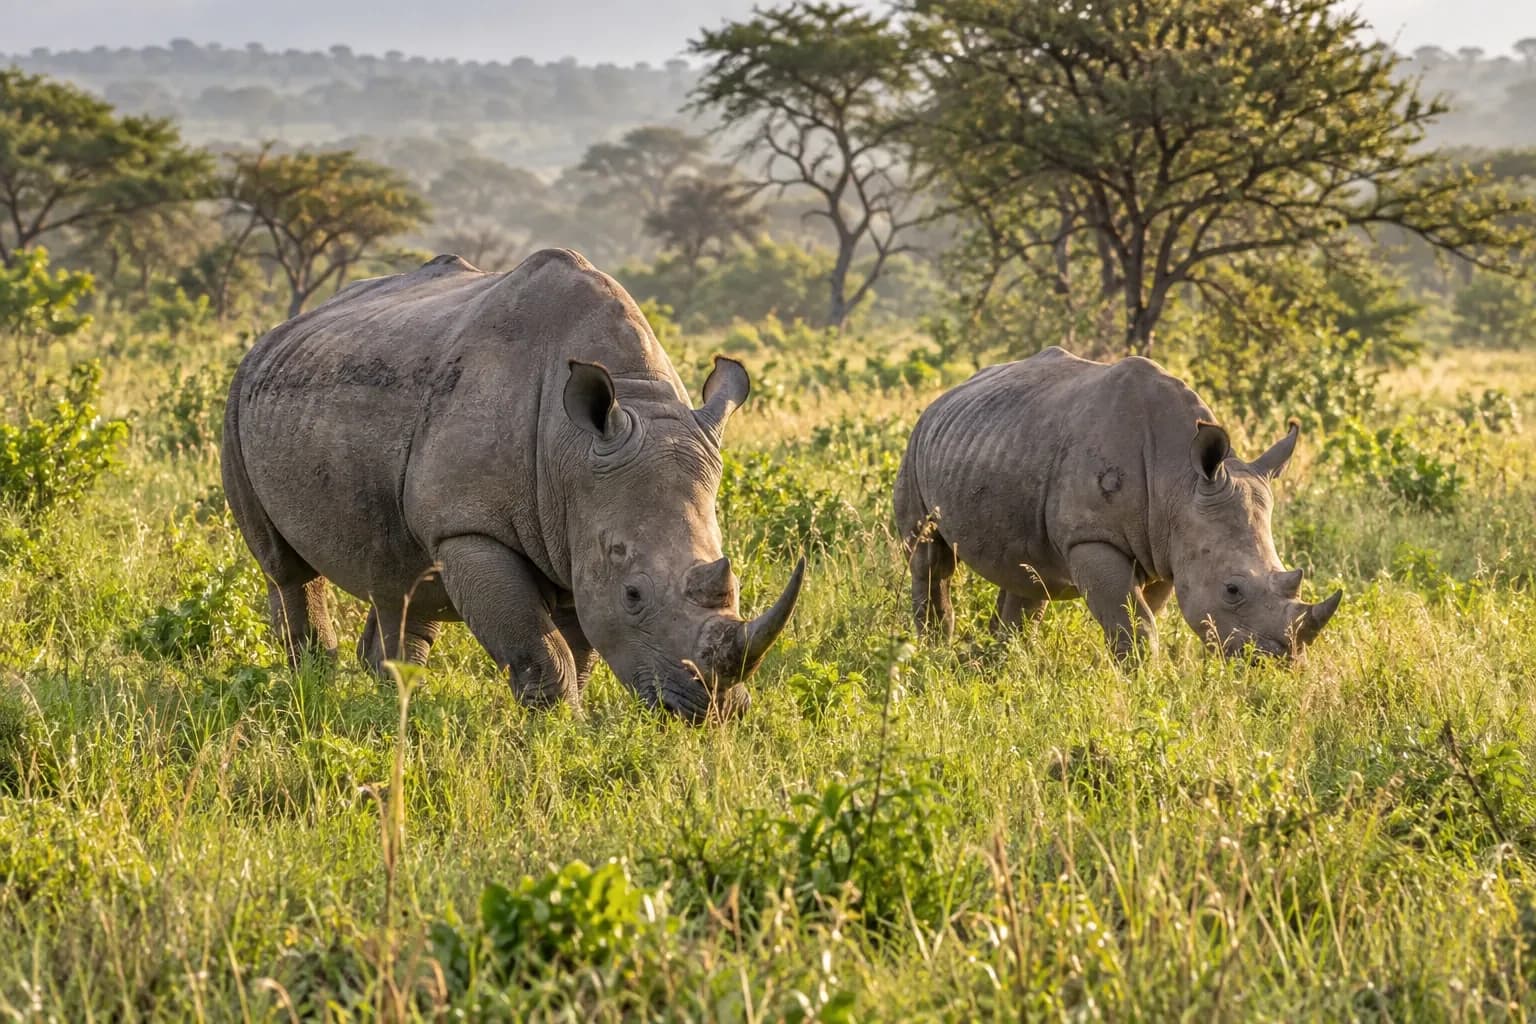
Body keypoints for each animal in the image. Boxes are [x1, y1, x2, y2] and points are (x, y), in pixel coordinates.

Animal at [222, 249, 804, 721]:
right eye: (634, 593)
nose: (716, 709)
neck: (573, 449)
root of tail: (278, 330)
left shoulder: (576, 530)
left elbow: (579, 646)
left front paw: (572, 721)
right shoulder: (471, 528)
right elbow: (539, 644)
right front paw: (561, 730)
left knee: (398, 575)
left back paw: (390, 693)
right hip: (237, 398)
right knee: (287, 569)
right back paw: (314, 680)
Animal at [893, 347, 1340, 660]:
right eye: (1232, 589)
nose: (1276, 660)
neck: (1181, 480)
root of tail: (945, 396)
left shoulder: (1167, 549)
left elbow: (1145, 616)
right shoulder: (1092, 538)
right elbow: (1135, 625)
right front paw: (1141, 684)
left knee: (1025, 575)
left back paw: (1002, 662)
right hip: (916, 445)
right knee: (930, 556)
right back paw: (933, 650)